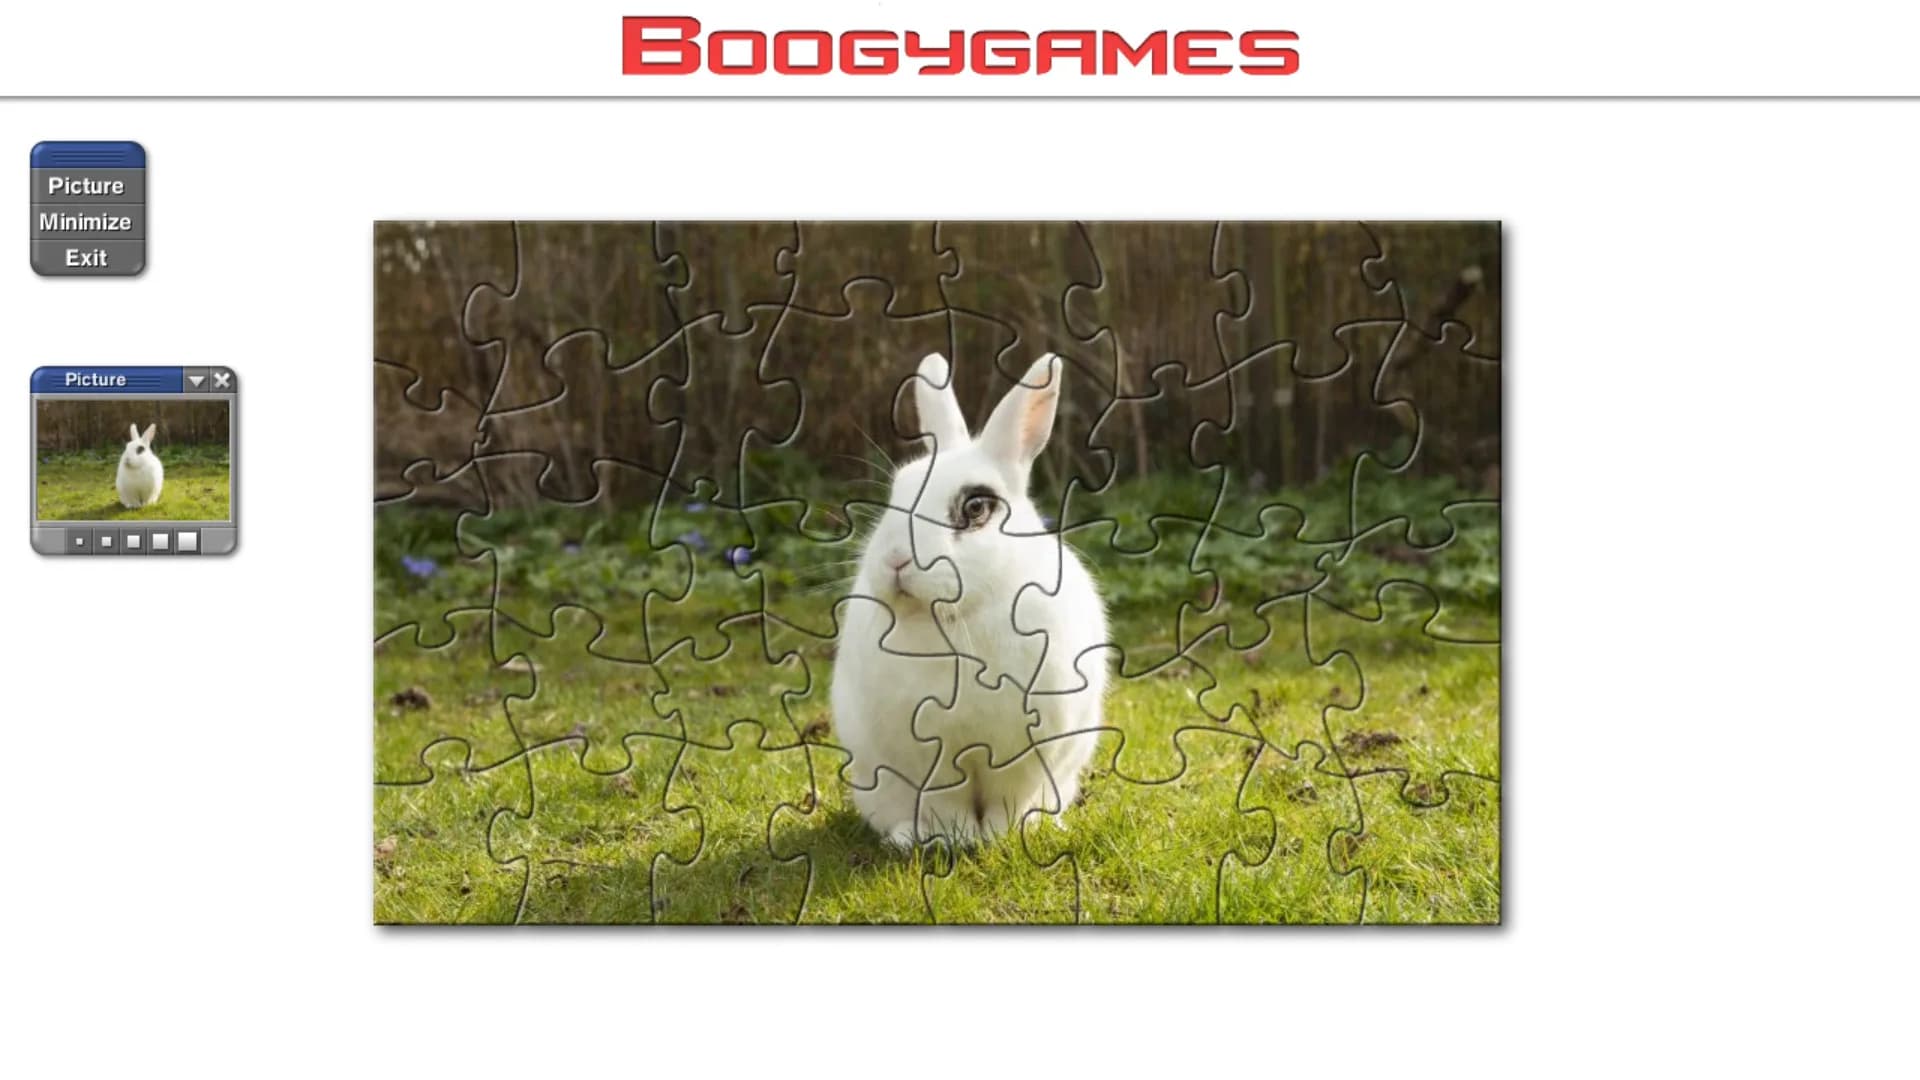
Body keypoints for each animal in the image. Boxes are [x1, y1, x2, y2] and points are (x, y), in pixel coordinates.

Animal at [831, 352, 1110, 849]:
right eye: (897, 492)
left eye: (976, 507)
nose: (896, 559)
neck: (955, 621)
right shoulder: (929, 755)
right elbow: (946, 802)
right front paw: (952, 838)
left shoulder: (1023, 754)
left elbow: (1008, 800)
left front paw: (1002, 836)